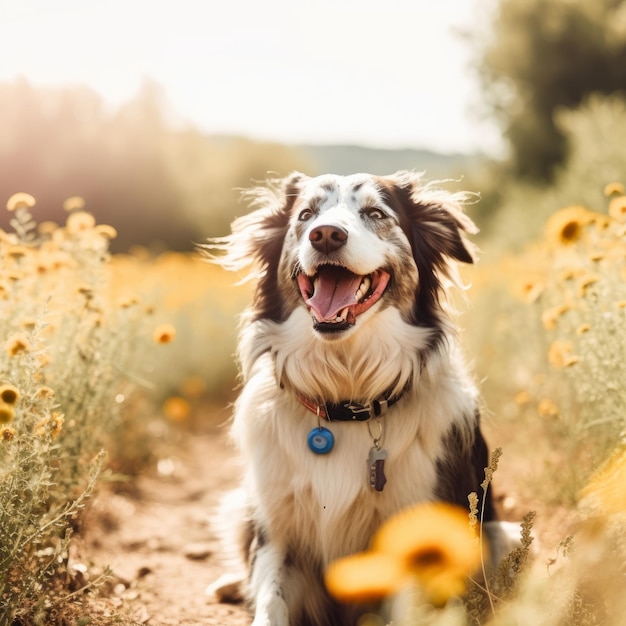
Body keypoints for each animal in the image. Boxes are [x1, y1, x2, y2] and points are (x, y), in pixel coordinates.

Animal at [208, 171, 498, 624]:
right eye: (306, 215)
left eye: (376, 214)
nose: (326, 234)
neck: (345, 396)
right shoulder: (278, 532)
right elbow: (270, 599)